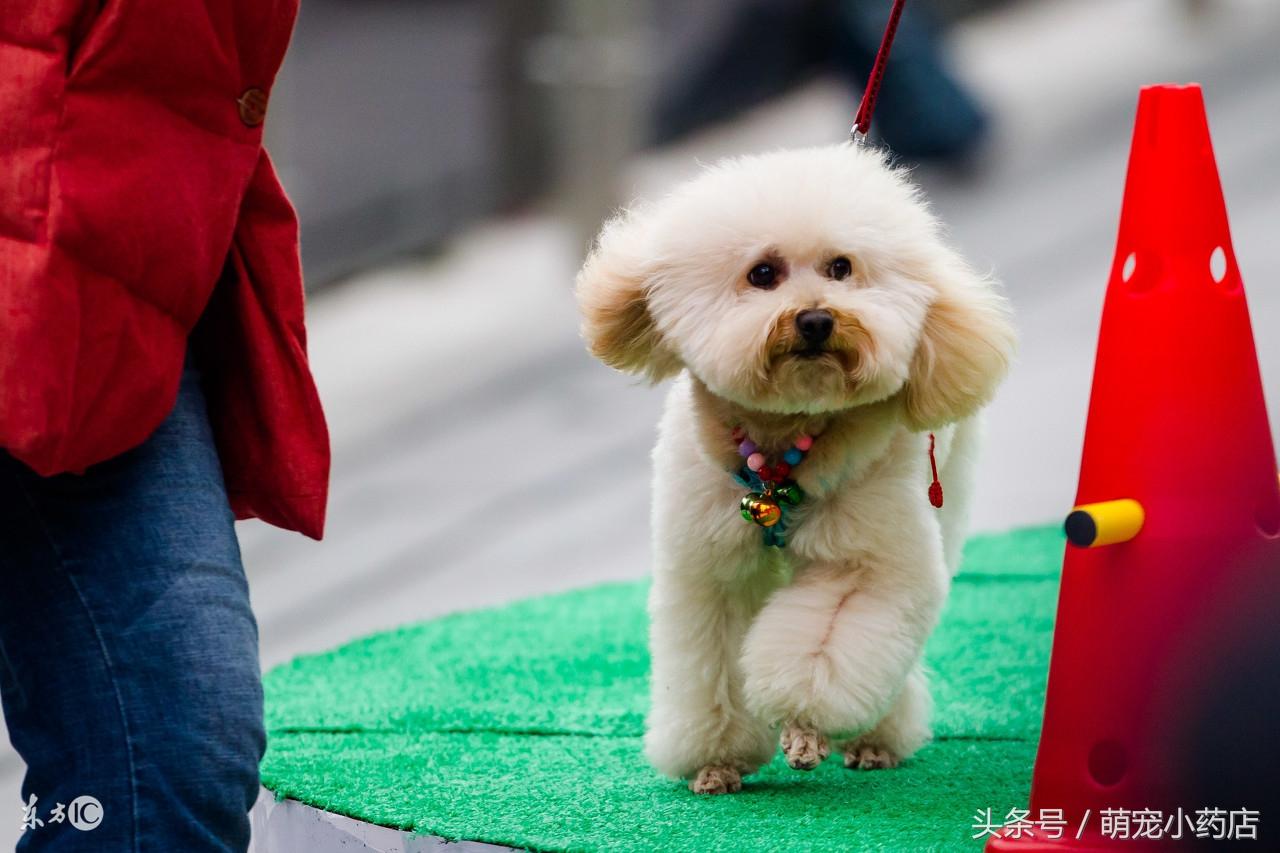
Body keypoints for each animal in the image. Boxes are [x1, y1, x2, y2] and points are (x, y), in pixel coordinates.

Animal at [576, 140, 1013, 788]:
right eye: (763, 273)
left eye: (842, 268)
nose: (815, 319)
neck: (779, 452)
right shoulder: (709, 569)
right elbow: (711, 665)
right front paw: (716, 759)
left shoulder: (866, 564)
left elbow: (820, 649)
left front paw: (803, 721)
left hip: (944, 496)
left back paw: (875, 738)